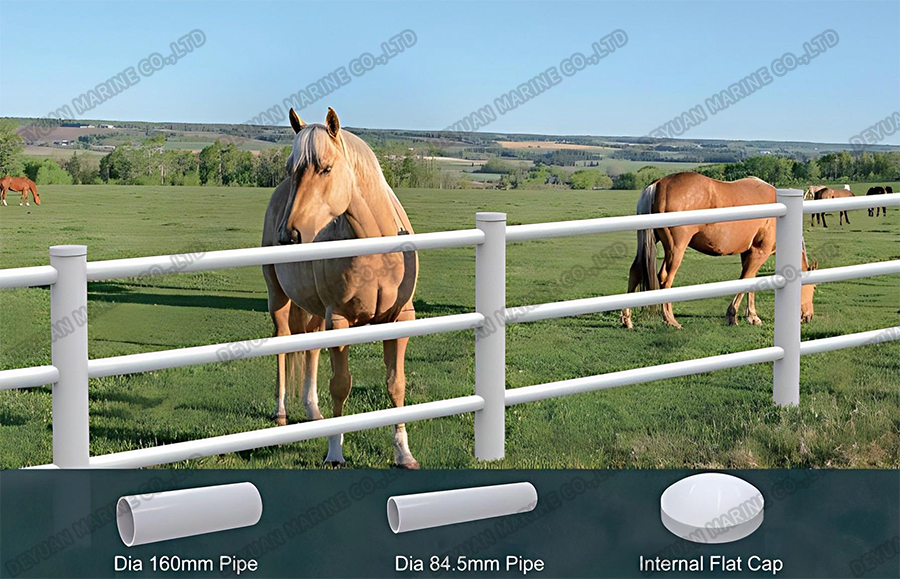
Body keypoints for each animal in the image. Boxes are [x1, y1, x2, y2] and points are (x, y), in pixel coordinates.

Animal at [262, 107, 420, 469]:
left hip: (315, 311)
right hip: (278, 298)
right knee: (283, 344)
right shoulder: (340, 321)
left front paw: (404, 453)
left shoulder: (401, 319)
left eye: (326, 168)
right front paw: (335, 453)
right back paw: (281, 414)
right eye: (292, 170)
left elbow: (396, 385)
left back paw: (313, 411)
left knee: (310, 347)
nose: (288, 236)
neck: (378, 249)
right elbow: (340, 386)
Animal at [620, 172, 817, 329]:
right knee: (665, 278)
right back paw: (670, 320)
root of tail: (660, 183)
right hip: (676, 249)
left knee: (636, 271)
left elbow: (751, 280)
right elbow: (746, 280)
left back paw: (627, 319)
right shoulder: (759, 252)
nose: (808, 317)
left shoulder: (748, 252)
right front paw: (733, 315)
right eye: (813, 287)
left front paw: (752, 316)